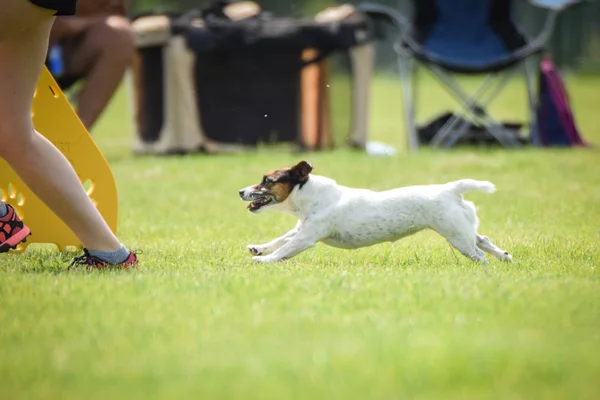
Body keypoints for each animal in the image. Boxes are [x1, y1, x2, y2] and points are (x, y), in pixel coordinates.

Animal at [239, 161, 510, 264]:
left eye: (268, 181)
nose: (241, 191)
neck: (312, 195)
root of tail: (450, 189)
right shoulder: (300, 229)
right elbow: (279, 240)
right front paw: (259, 248)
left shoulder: (306, 237)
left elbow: (284, 249)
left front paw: (263, 260)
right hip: (462, 230)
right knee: (483, 240)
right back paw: (504, 256)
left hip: (457, 237)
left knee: (480, 255)